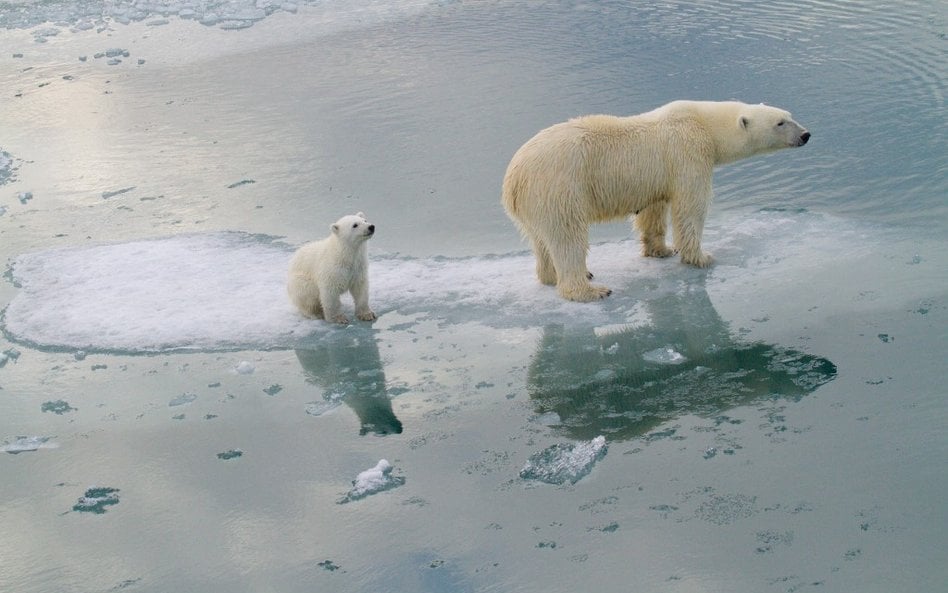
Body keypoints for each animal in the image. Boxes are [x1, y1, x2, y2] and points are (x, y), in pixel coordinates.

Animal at [504, 99, 808, 300]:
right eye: (780, 122)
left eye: (789, 114)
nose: (806, 134)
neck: (704, 123)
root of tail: (513, 179)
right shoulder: (688, 154)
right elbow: (691, 207)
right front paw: (701, 256)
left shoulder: (657, 177)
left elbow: (654, 210)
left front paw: (661, 250)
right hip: (560, 187)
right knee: (568, 237)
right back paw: (590, 289)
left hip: (536, 202)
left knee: (541, 240)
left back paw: (552, 276)